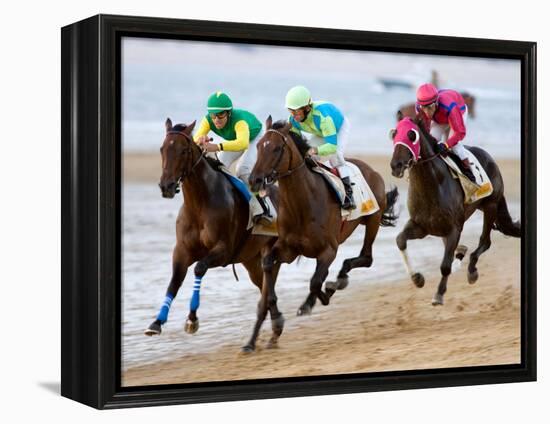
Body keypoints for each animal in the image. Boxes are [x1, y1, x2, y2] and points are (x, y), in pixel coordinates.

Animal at [146, 117, 288, 348]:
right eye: (162, 149)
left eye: (183, 150)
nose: (166, 186)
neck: (199, 204)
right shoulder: (182, 251)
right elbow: (174, 281)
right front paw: (157, 322)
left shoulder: (223, 250)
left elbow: (199, 269)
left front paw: (192, 319)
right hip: (251, 260)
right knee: (265, 286)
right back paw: (275, 327)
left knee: (268, 286)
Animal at [246, 116, 402, 352]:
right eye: (258, 147)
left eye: (276, 148)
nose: (254, 180)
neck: (303, 204)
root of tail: (371, 169)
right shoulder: (287, 249)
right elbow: (269, 264)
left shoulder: (329, 250)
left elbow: (315, 281)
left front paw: (314, 300)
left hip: (372, 219)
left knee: (366, 257)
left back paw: (337, 282)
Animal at [390, 114, 524, 304]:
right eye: (394, 134)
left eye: (411, 135)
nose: (396, 165)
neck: (431, 185)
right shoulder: (420, 226)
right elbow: (400, 240)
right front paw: (417, 278)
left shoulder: (454, 228)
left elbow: (445, 265)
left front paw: (439, 294)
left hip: (490, 205)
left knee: (485, 241)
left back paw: (472, 270)